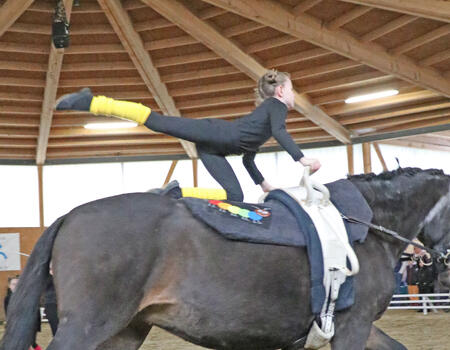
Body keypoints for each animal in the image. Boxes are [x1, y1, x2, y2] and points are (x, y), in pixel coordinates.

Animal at [0, 167, 450, 350]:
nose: (442, 272)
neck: (367, 226)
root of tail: (70, 215)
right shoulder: (352, 326)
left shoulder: (350, 328)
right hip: (90, 325)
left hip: (125, 330)